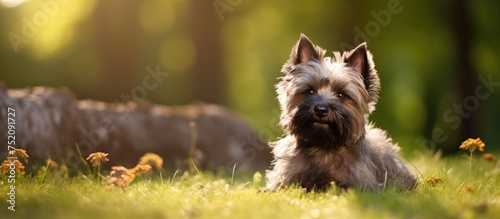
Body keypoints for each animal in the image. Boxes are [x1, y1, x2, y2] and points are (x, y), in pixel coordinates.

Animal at [266, 34, 418, 192]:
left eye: (341, 95)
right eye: (310, 91)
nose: (320, 110)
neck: (323, 147)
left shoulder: (359, 183)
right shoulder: (285, 178)